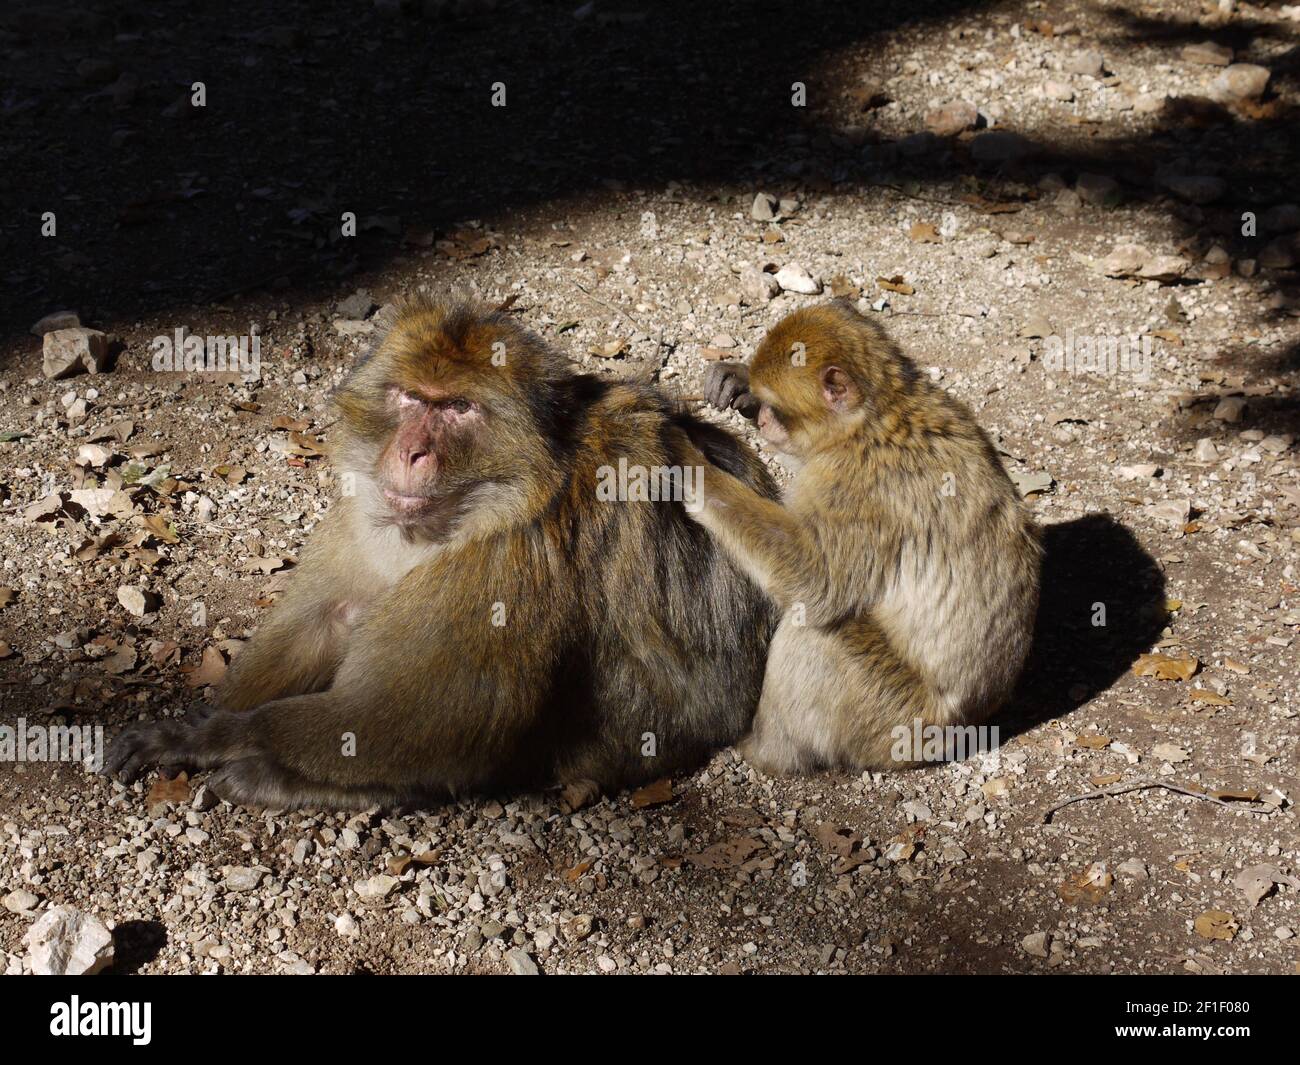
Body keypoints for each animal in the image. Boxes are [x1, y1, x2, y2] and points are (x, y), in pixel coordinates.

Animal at [106, 297, 774, 806]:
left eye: (457, 407)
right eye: (410, 398)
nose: (412, 452)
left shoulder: (506, 564)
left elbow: (413, 720)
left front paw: (218, 737)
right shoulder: (364, 513)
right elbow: (325, 621)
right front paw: (199, 721)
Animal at [686, 300, 1040, 775]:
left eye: (776, 409)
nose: (760, 417)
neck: (880, 415)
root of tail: (964, 730)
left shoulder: (862, 488)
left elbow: (815, 580)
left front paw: (690, 471)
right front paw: (737, 380)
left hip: (891, 721)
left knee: (816, 633)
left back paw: (765, 753)